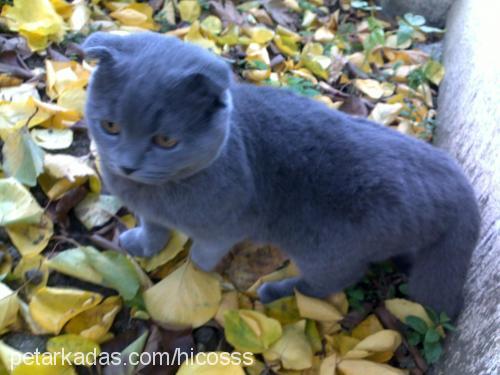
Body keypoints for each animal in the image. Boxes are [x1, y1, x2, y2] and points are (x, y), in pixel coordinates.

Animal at [83, 33, 480, 320]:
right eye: (110, 126)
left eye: (166, 140)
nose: (127, 165)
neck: (159, 191)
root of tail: (456, 183)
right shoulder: (148, 209)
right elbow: (154, 228)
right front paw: (141, 244)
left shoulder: (224, 228)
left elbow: (202, 254)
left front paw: (197, 274)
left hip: (326, 248)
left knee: (333, 281)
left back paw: (275, 291)